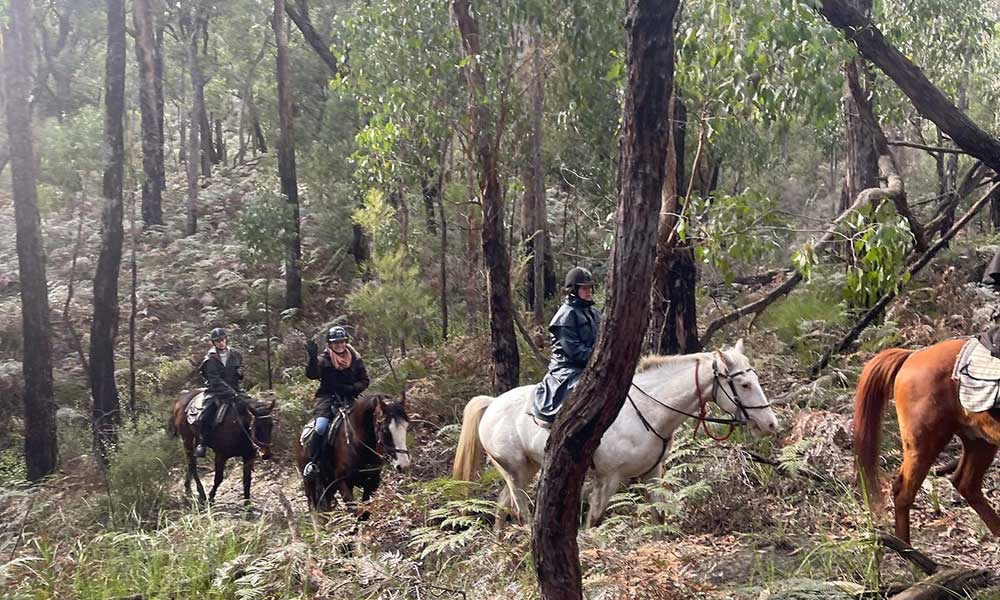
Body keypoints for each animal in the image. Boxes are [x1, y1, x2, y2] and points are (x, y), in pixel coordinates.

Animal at [452, 338, 780, 528]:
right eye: (745, 385)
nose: (770, 424)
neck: (648, 409)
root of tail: (493, 403)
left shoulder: (652, 473)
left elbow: (658, 516)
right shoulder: (608, 478)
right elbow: (595, 521)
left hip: (527, 469)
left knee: (501, 506)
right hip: (515, 470)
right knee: (520, 510)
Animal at [852, 338, 1000, 544]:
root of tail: (911, 355)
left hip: (979, 441)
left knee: (966, 484)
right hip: (923, 444)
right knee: (902, 492)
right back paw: (906, 550)